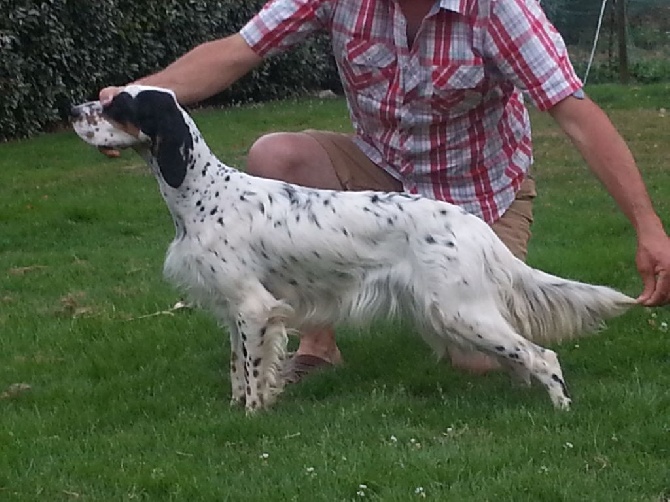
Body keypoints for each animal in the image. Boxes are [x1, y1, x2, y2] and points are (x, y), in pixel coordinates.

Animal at [71, 86, 636, 414]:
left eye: (118, 105)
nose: (71, 108)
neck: (202, 194)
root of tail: (472, 225)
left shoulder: (254, 308)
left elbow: (253, 374)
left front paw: (252, 418)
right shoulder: (232, 309)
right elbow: (236, 367)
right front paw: (236, 409)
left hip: (460, 310)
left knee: (542, 353)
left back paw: (560, 409)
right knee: (522, 354)